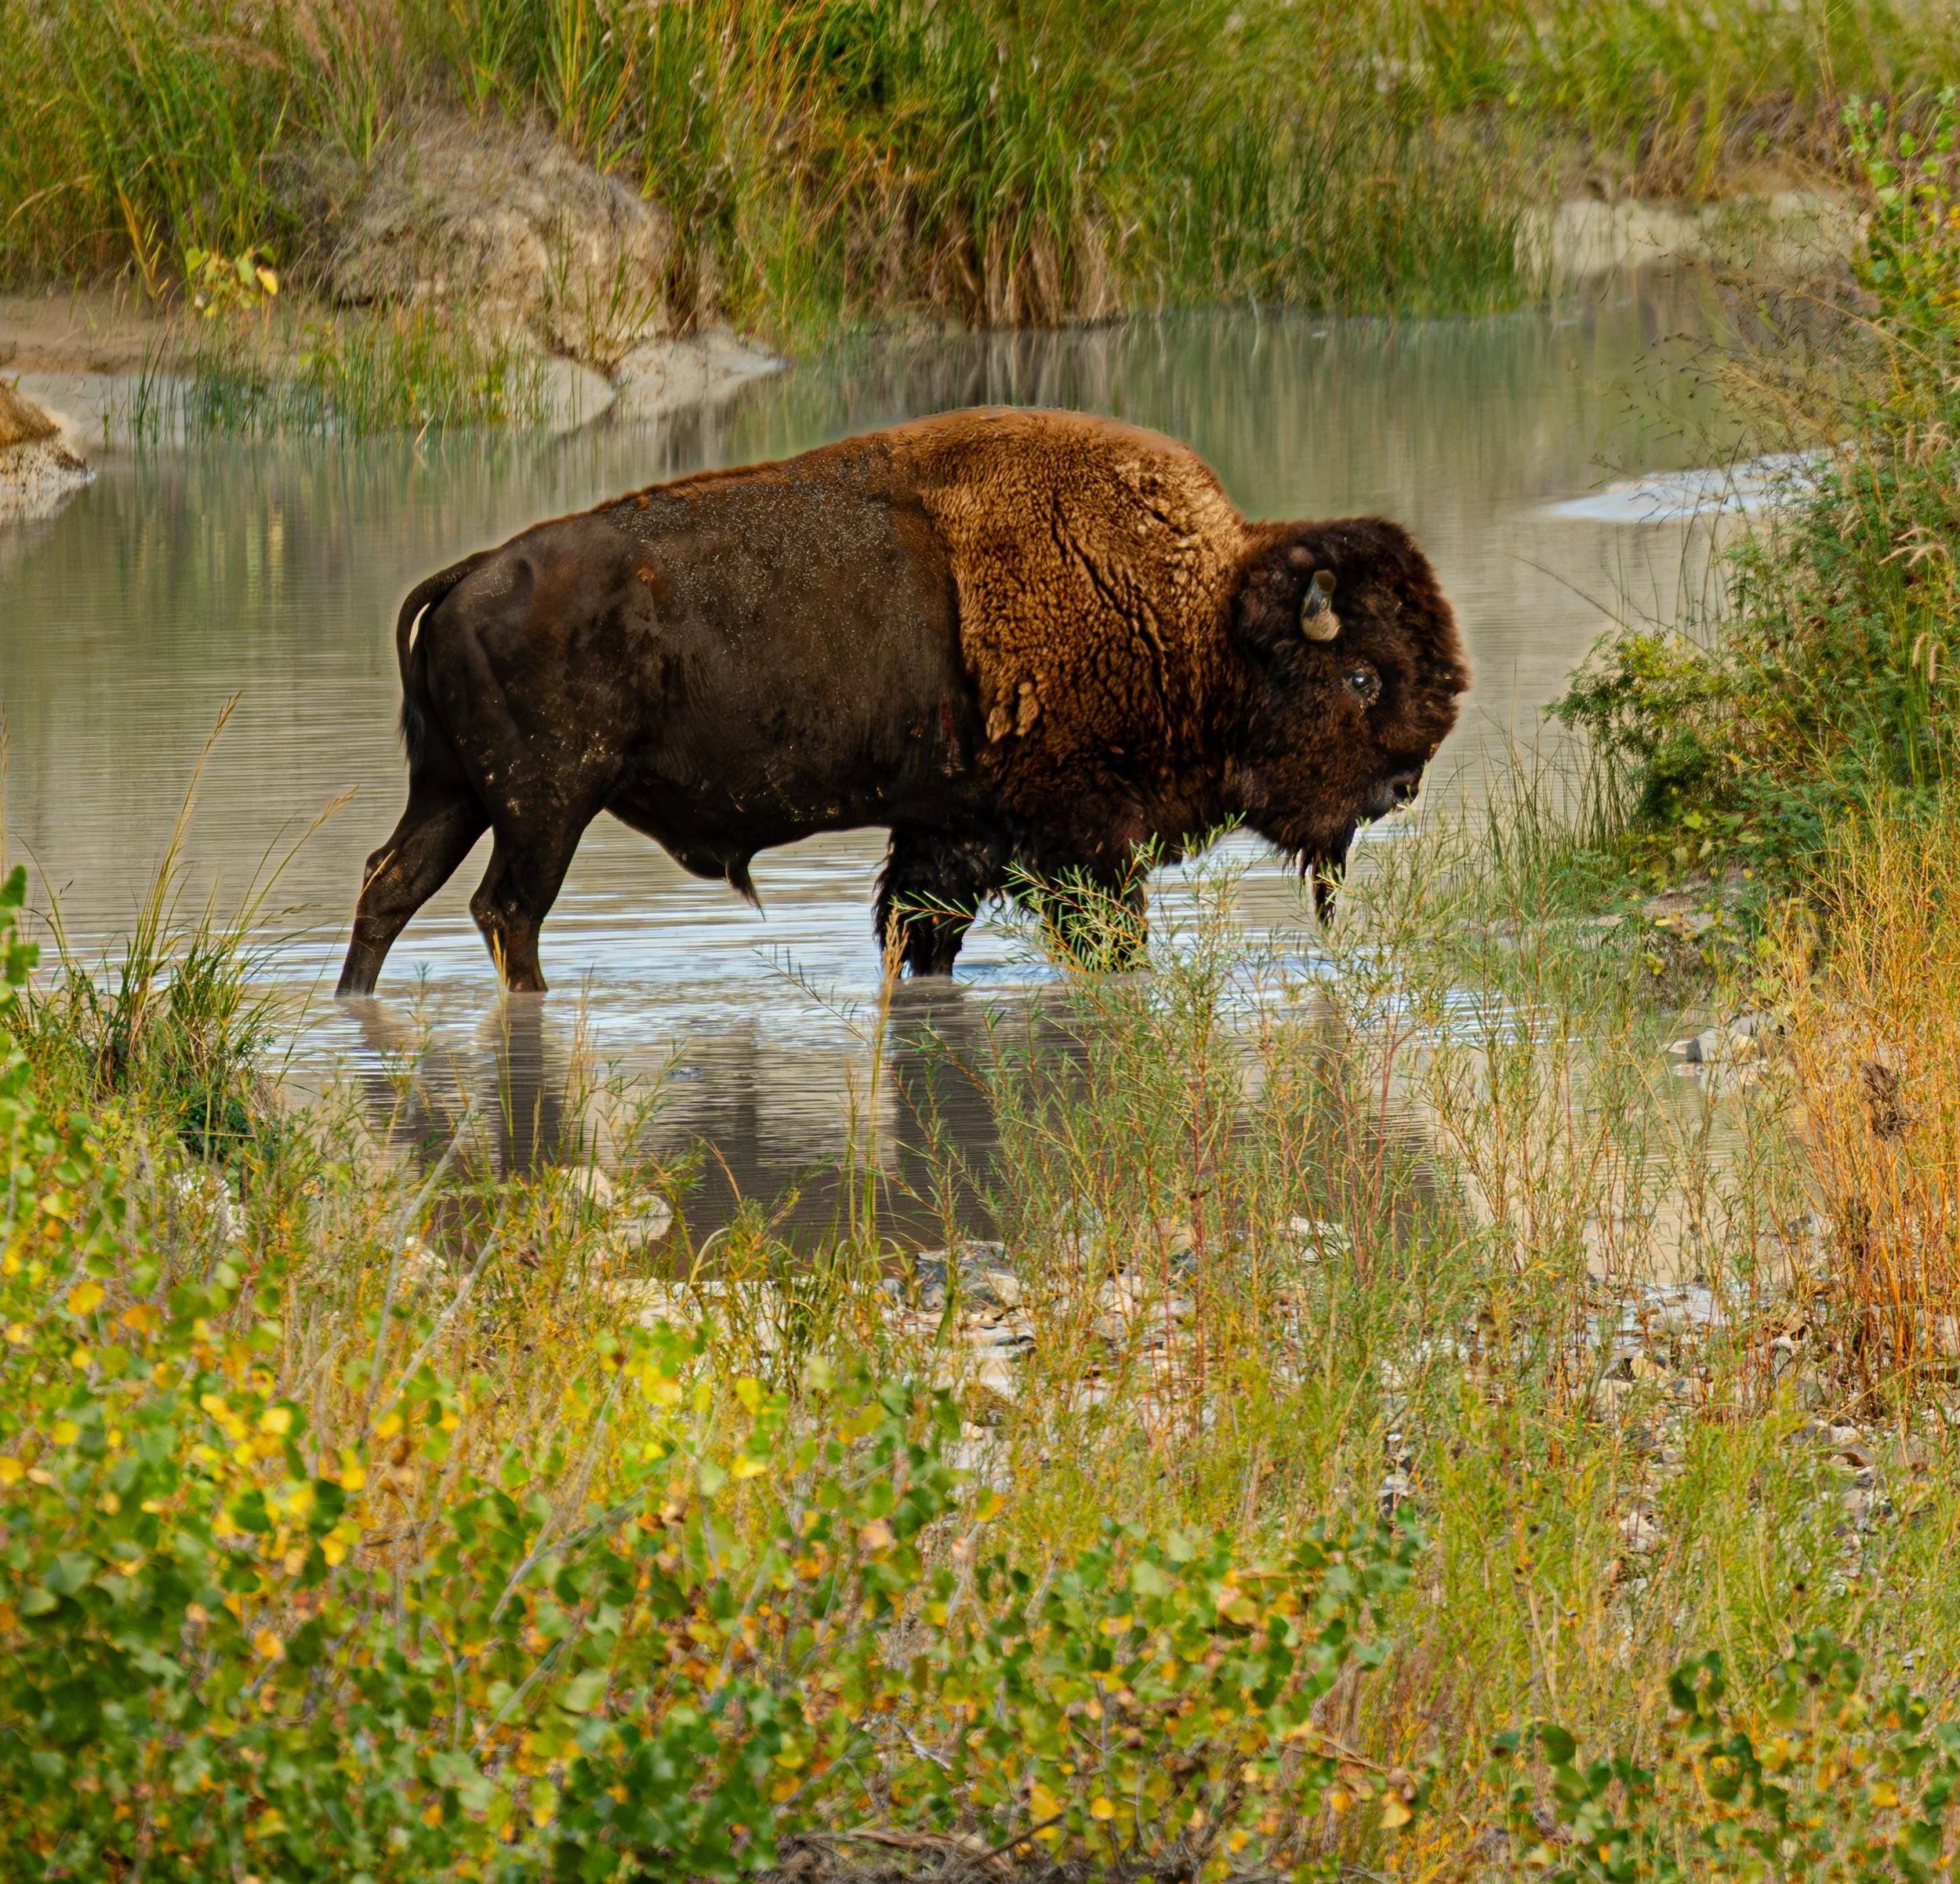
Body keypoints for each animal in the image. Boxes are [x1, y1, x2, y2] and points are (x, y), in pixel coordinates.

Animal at [336, 408, 1469, 995]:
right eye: (1363, 675)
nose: (1402, 786)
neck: (1200, 613)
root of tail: (471, 571)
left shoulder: (952, 831)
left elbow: (919, 933)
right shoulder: (1085, 840)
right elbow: (1101, 936)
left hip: (456, 792)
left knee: (394, 885)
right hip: (545, 805)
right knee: (505, 909)